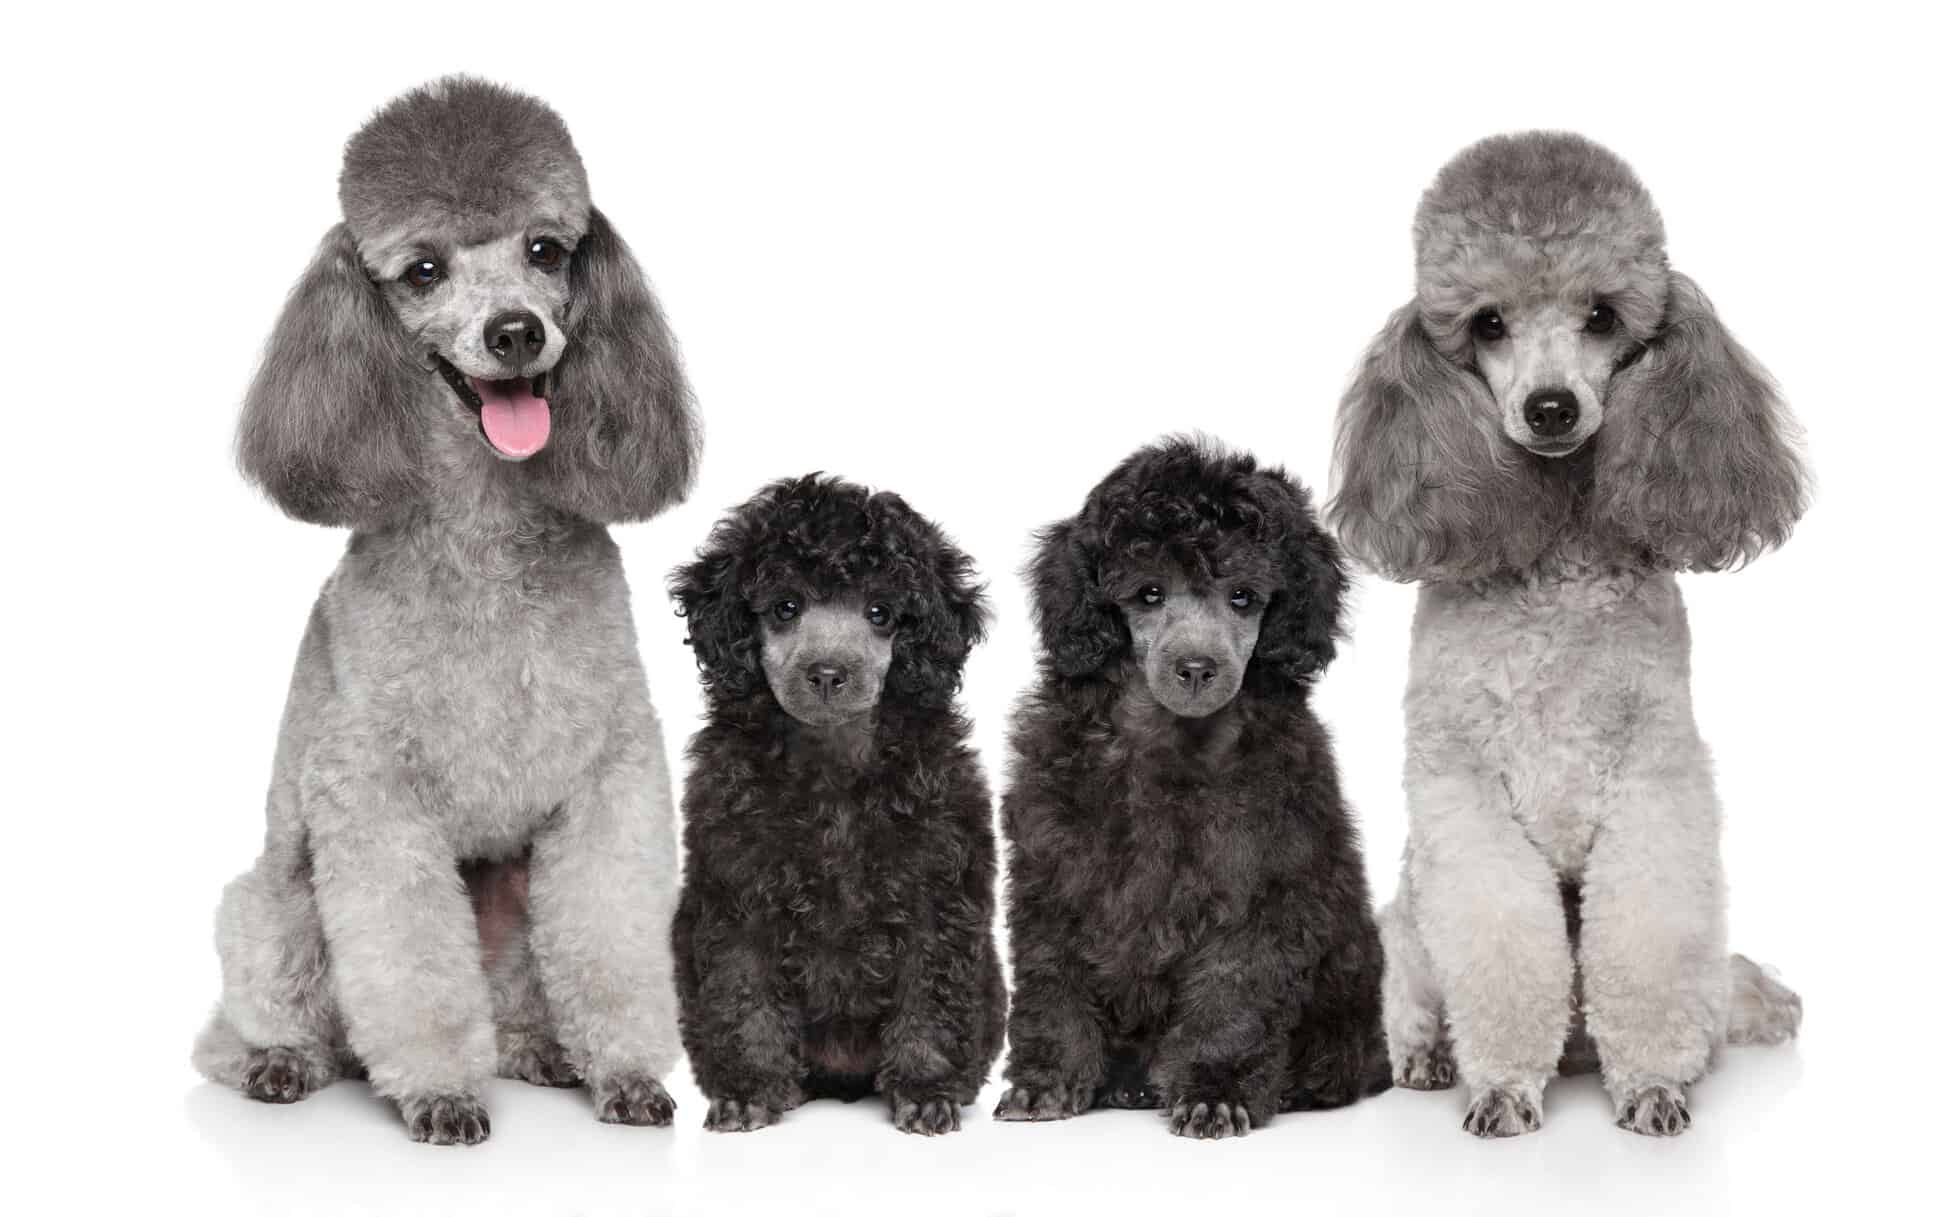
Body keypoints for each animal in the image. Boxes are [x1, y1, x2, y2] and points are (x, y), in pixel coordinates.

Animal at [671, 473, 1008, 1133]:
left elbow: (931, 999)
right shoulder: (739, 898)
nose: (828, 674)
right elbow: (745, 998)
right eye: (785, 607)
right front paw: (750, 1090)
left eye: (880, 613)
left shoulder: (936, 898)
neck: (833, 767)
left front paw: (925, 1090)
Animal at [993, 440, 1389, 1141]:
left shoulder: (1260, 892)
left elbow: (1232, 1001)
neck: (1169, 743)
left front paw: (1215, 1091)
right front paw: (1048, 1082)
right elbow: (1052, 985)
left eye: (1243, 598)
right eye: (1149, 594)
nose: (1197, 668)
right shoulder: (1054, 877)